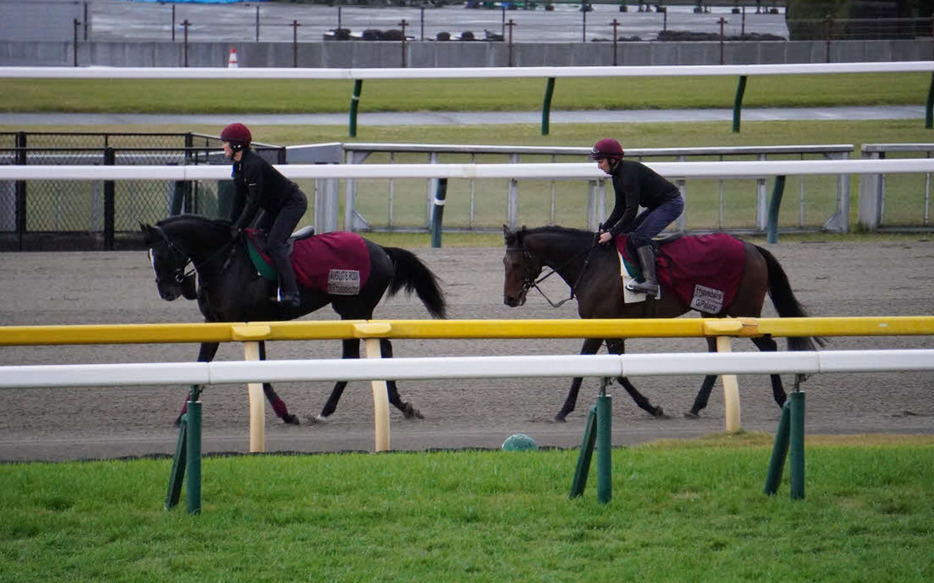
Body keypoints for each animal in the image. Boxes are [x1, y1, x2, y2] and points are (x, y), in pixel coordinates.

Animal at [144, 214, 450, 424]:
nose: (166, 291)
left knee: (360, 352)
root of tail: (381, 249)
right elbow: (201, 365)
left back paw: (328, 411)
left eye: (163, 253)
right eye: (149, 257)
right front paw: (182, 417)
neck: (225, 263)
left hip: (355, 309)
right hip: (355, 312)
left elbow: (260, 371)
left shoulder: (250, 323)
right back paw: (397, 405)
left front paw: (286, 414)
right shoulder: (215, 323)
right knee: (379, 347)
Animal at [504, 226, 828, 422]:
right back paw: (696, 406)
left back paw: (782, 398)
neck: (591, 263)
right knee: (715, 353)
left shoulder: (602, 325)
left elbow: (595, 367)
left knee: (769, 345)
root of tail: (753, 247)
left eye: (516, 263)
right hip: (712, 313)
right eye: (504, 263)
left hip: (742, 310)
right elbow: (610, 368)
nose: (509, 299)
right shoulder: (607, 327)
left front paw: (564, 410)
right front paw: (651, 406)